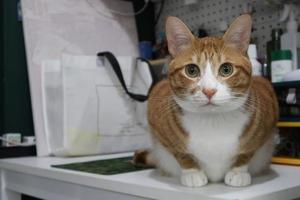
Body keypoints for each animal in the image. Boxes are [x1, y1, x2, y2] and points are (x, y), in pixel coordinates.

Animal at [134, 14, 278, 188]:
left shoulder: (267, 102)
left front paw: (238, 172)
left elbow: (247, 151)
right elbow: (180, 152)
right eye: (191, 70)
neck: (212, 121)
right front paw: (192, 172)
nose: (209, 91)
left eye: (226, 69)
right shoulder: (157, 112)